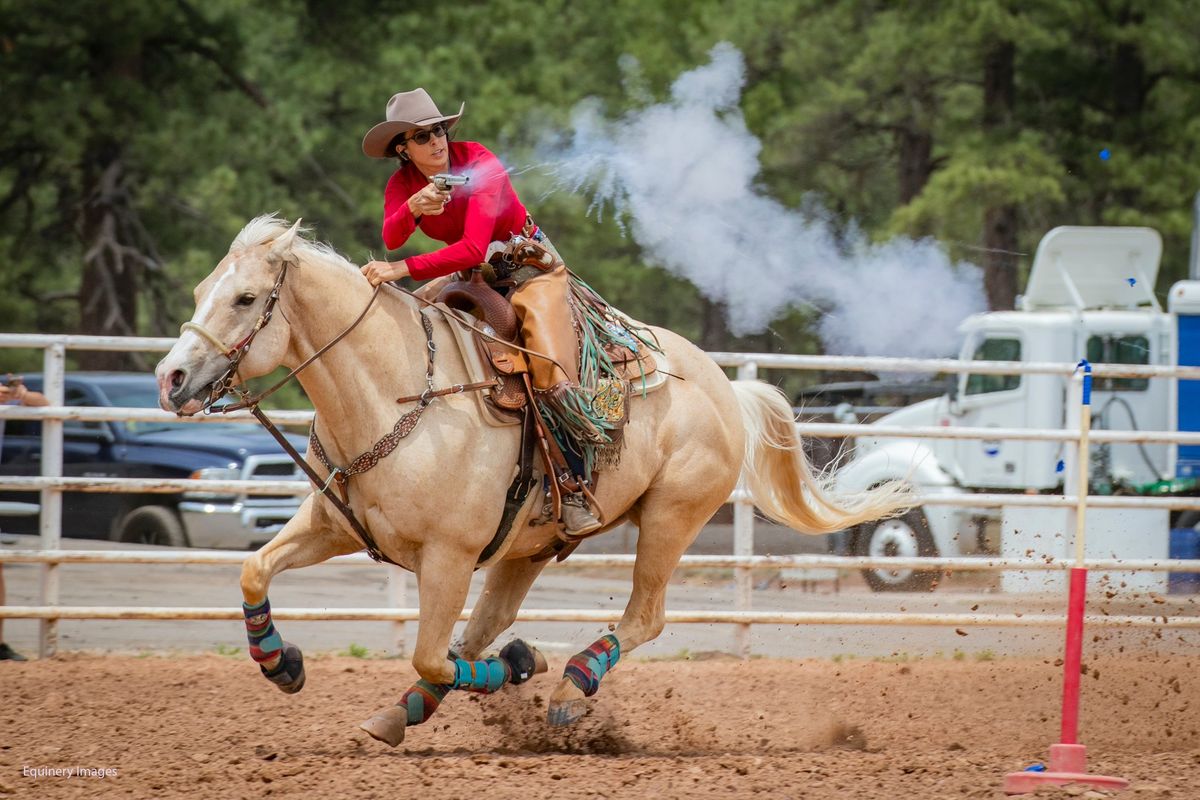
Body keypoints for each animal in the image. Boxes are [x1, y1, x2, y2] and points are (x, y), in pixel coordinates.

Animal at [157, 215, 907, 748]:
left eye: (245, 298)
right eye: (198, 293)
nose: (170, 378)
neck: (396, 394)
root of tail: (726, 388)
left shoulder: (448, 558)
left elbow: (430, 654)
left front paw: (526, 667)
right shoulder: (334, 524)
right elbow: (256, 569)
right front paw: (282, 665)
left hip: (670, 517)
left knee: (640, 617)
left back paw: (568, 688)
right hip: (528, 548)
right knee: (483, 629)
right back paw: (402, 715)